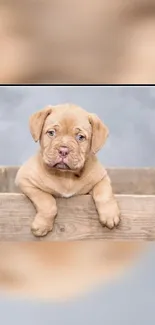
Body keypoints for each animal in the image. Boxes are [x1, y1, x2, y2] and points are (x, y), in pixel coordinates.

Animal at [15, 104, 120, 235]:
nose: (63, 150)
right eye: (51, 133)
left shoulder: (101, 178)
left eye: (80, 137)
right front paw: (42, 226)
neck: (66, 175)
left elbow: (104, 193)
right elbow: (47, 201)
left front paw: (110, 215)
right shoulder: (25, 180)